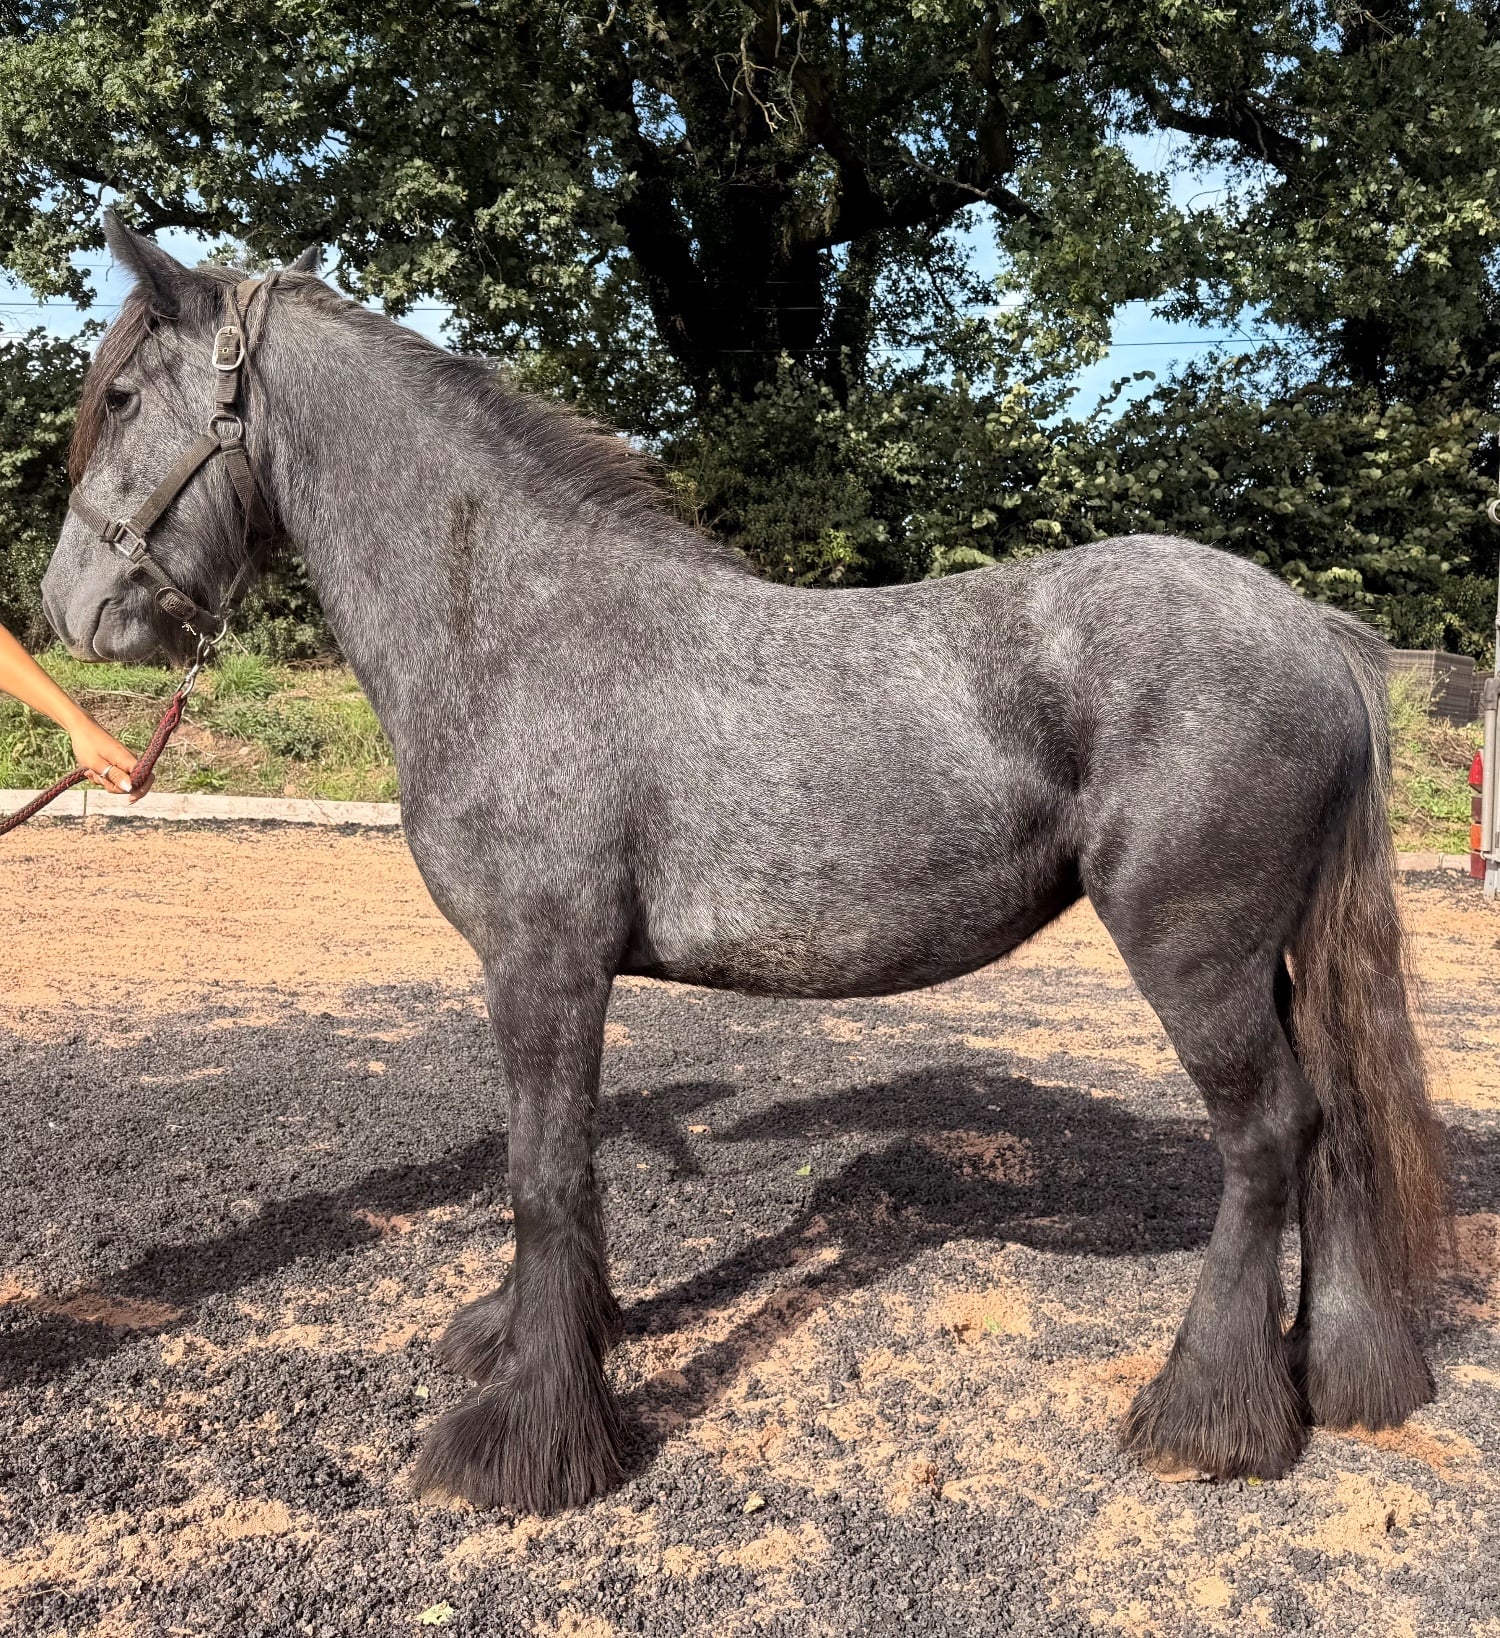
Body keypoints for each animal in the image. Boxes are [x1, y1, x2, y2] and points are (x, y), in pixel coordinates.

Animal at [40, 214, 1447, 1516]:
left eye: (121, 397)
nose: (67, 611)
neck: (514, 628)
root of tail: (1311, 630)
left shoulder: (542, 965)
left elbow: (541, 1175)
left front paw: (525, 1440)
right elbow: (566, 1167)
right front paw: (534, 1343)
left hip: (1192, 954)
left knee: (1266, 1137)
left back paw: (1208, 1416)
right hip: (1268, 961)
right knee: (1331, 1127)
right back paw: (1337, 1375)